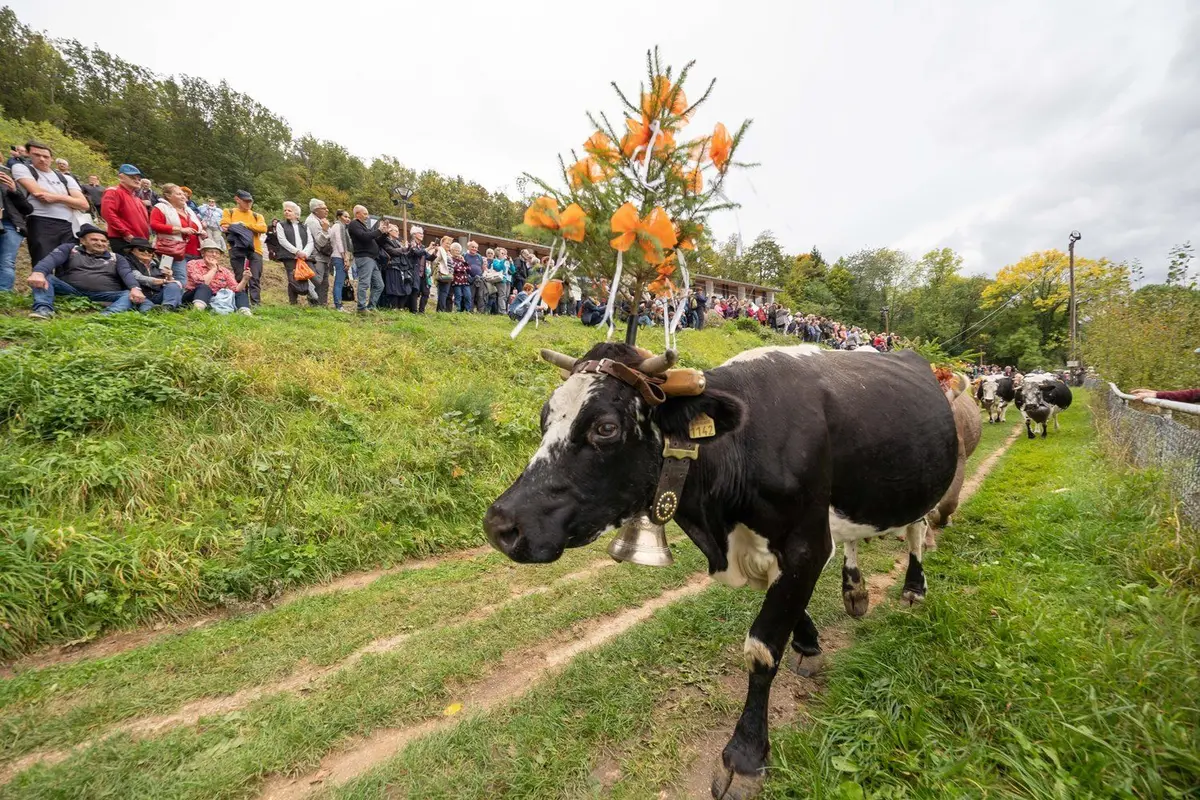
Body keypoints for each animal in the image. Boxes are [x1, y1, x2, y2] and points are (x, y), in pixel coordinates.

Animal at [483, 342, 958, 799]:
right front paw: (808, 645)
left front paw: (745, 757)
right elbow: (789, 612)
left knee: (916, 533)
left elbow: (762, 648)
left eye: (605, 428)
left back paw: (913, 588)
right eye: (544, 420)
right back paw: (855, 591)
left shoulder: (807, 543)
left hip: (923, 490)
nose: (500, 525)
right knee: (856, 538)